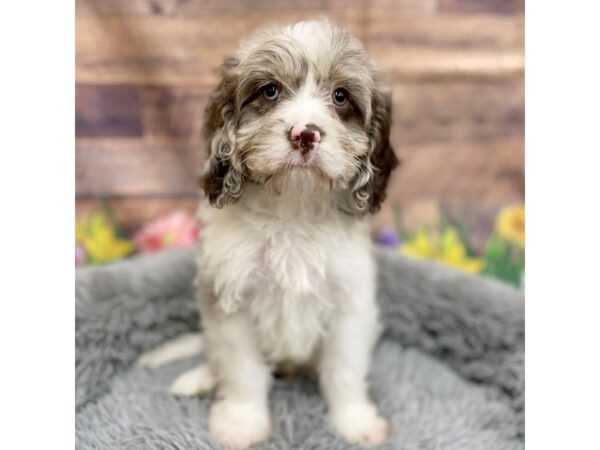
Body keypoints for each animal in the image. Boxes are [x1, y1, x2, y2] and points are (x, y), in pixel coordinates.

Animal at [136, 19, 398, 448]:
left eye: (341, 96)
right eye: (270, 90)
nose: (304, 134)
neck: (291, 208)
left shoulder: (350, 301)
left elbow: (343, 370)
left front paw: (354, 422)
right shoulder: (231, 298)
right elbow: (241, 369)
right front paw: (242, 422)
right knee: (214, 355)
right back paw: (199, 379)